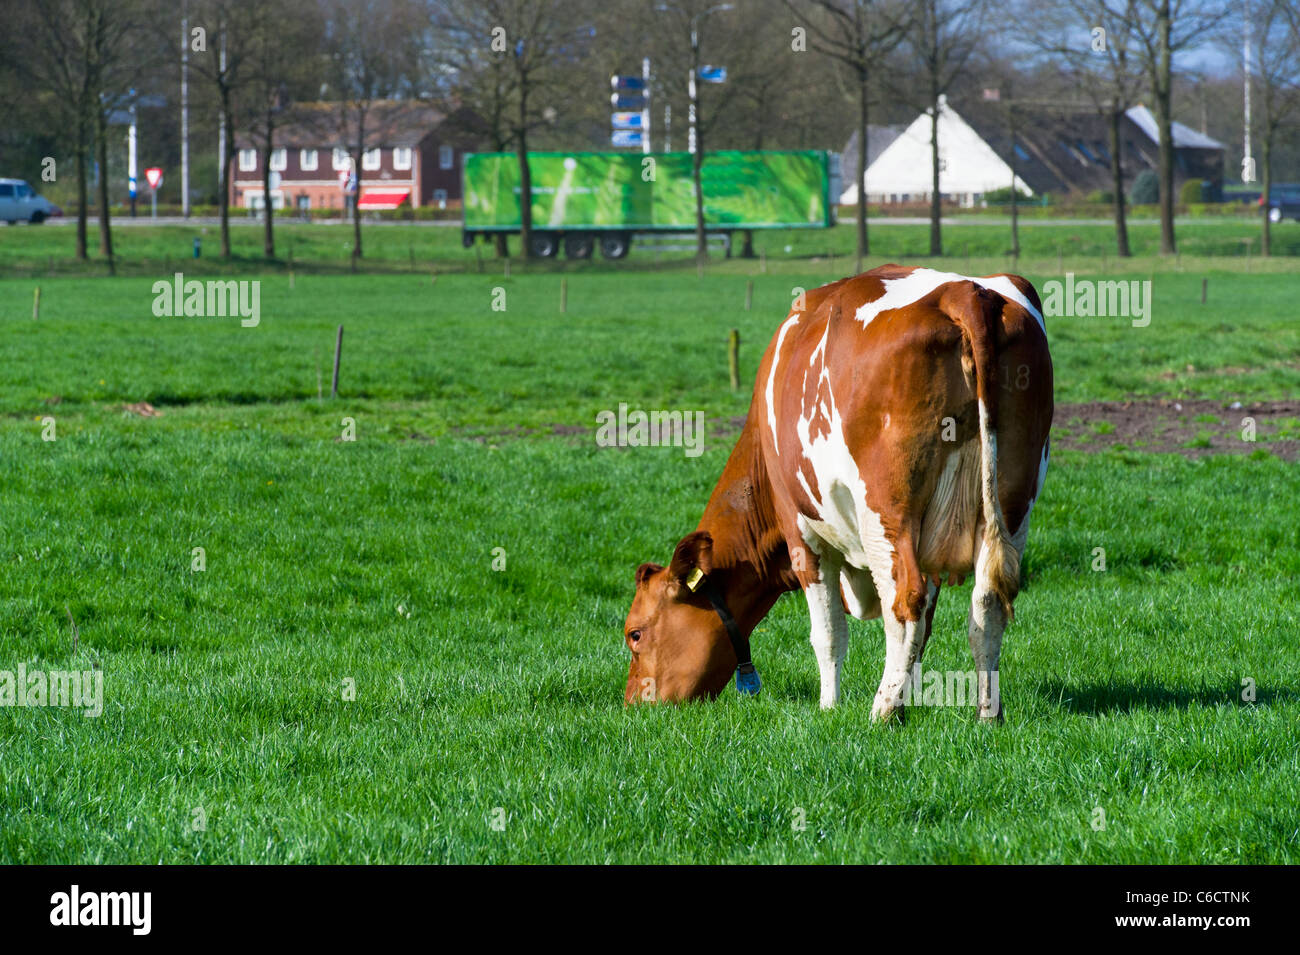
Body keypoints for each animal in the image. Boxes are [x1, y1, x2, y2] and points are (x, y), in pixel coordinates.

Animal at [623, 265, 1053, 722]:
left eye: (635, 634)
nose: (633, 704)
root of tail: (962, 291)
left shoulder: (801, 534)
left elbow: (828, 633)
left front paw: (831, 706)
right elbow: (924, 631)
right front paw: (908, 701)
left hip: (886, 513)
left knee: (906, 604)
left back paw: (881, 714)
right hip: (1011, 504)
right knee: (986, 603)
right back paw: (987, 715)